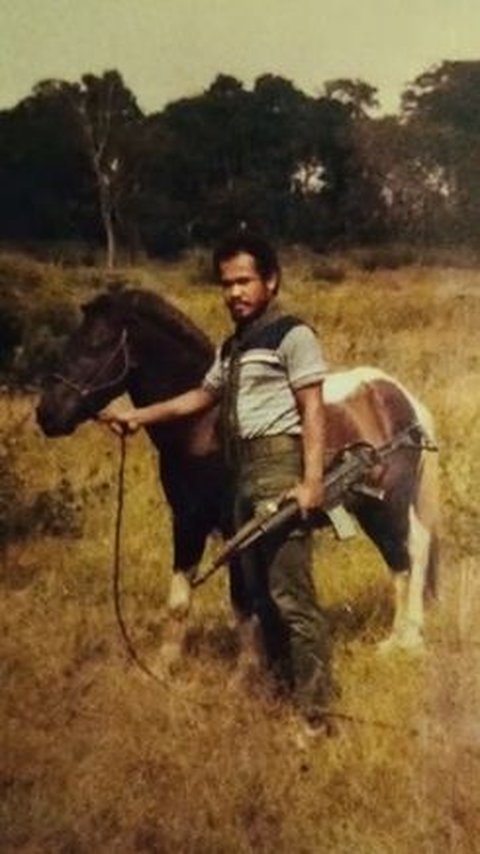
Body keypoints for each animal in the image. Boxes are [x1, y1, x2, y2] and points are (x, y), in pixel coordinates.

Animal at [34, 290, 438, 668]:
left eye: (96, 343)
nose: (46, 413)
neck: (203, 428)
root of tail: (400, 398)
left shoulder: (235, 530)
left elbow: (242, 600)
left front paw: (246, 669)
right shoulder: (187, 522)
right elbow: (180, 597)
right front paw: (165, 666)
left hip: (389, 505)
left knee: (410, 554)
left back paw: (406, 641)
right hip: (374, 509)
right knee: (404, 558)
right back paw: (400, 638)